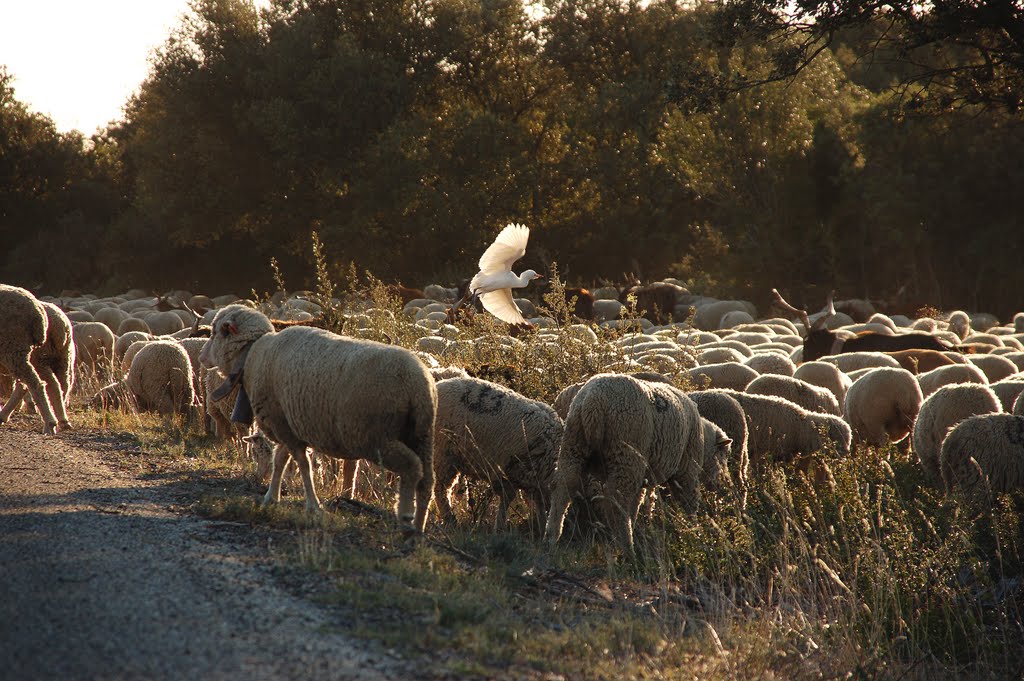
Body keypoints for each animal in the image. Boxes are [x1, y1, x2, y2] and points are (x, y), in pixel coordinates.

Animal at [198, 303, 436, 532]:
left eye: (214, 333)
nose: (201, 355)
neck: (254, 354)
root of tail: (418, 385)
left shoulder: (282, 423)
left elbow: (303, 465)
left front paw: (313, 505)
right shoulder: (285, 422)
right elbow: (280, 460)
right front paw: (271, 497)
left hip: (378, 437)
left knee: (412, 468)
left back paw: (406, 517)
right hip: (421, 435)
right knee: (427, 481)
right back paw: (420, 526)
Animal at [430, 376, 565, 532]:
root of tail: (438, 384)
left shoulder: (532, 479)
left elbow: (538, 502)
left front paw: (541, 524)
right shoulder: (512, 470)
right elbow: (509, 498)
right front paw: (500, 526)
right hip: (443, 453)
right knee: (440, 489)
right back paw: (450, 519)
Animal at [544, 372, 712, 552]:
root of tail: (593, 402)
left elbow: (637, 502)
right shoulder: (687, 467)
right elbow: (688, 500)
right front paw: (695, 530)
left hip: (573, 444)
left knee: (564, 487)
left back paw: (551, 537)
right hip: (626, 452)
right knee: (618, 502)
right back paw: (627, 545)